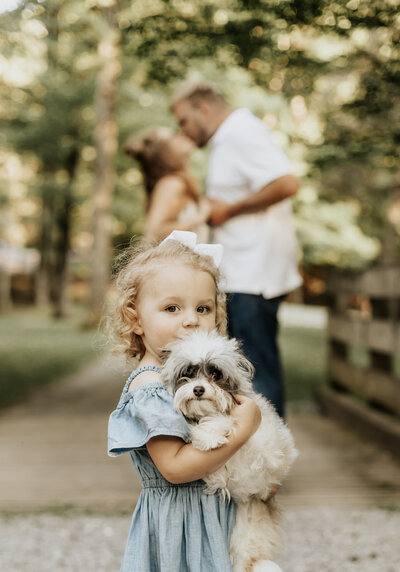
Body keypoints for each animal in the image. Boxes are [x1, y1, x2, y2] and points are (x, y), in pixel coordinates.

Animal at [162, 328, 296, 572]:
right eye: (188, 372)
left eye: (215, 373)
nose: (198, 389)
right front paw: (206, 435)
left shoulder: (266, 446)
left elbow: (226, 421)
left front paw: (209, 434)